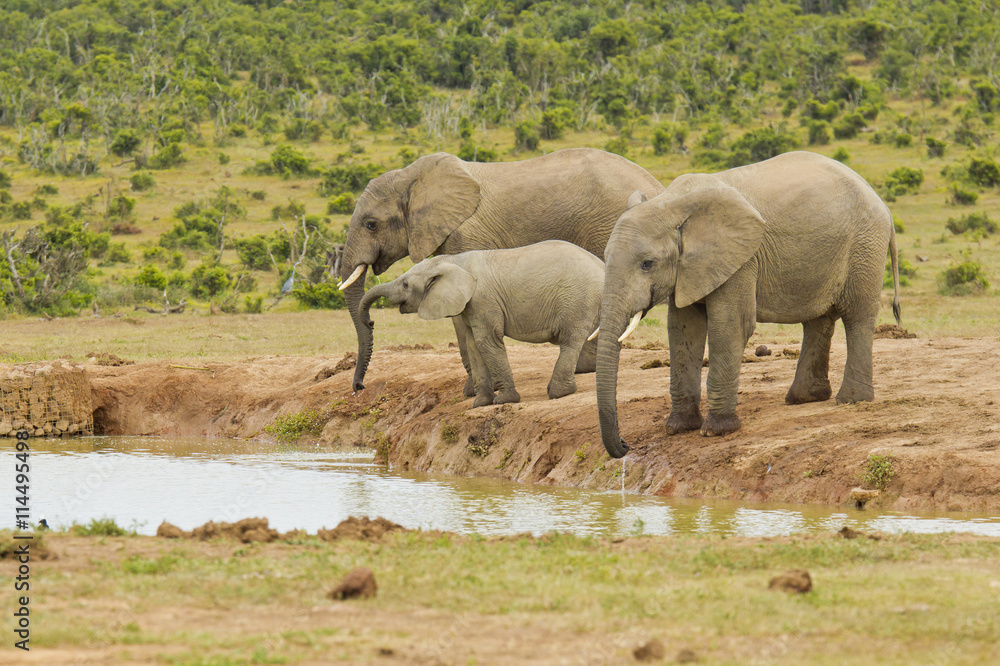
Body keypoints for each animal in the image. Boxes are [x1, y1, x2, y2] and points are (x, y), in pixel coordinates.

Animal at [362, 240, 608, 404]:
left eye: (405, 284)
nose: (371, 322)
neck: (452, 261)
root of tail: (602, 265)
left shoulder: (482, 298)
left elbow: (487, 341)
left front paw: (505, 401)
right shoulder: (469, 304)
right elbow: (473, 344)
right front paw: (480, 404)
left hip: (577, 297)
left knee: (570, 340)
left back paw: (561, 393)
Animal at [592, 152, 900, 460]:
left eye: (647, 264)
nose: (625, 445)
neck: (673, 202)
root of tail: (882, 202)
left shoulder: (741, 259)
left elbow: (731, 327)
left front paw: (716, 430)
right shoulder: (688, 269)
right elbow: (682, 330)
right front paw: (679, 428)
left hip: (865, 247)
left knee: (857, 317)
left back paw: (851, 401)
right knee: (818, 320)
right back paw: (804, 399)